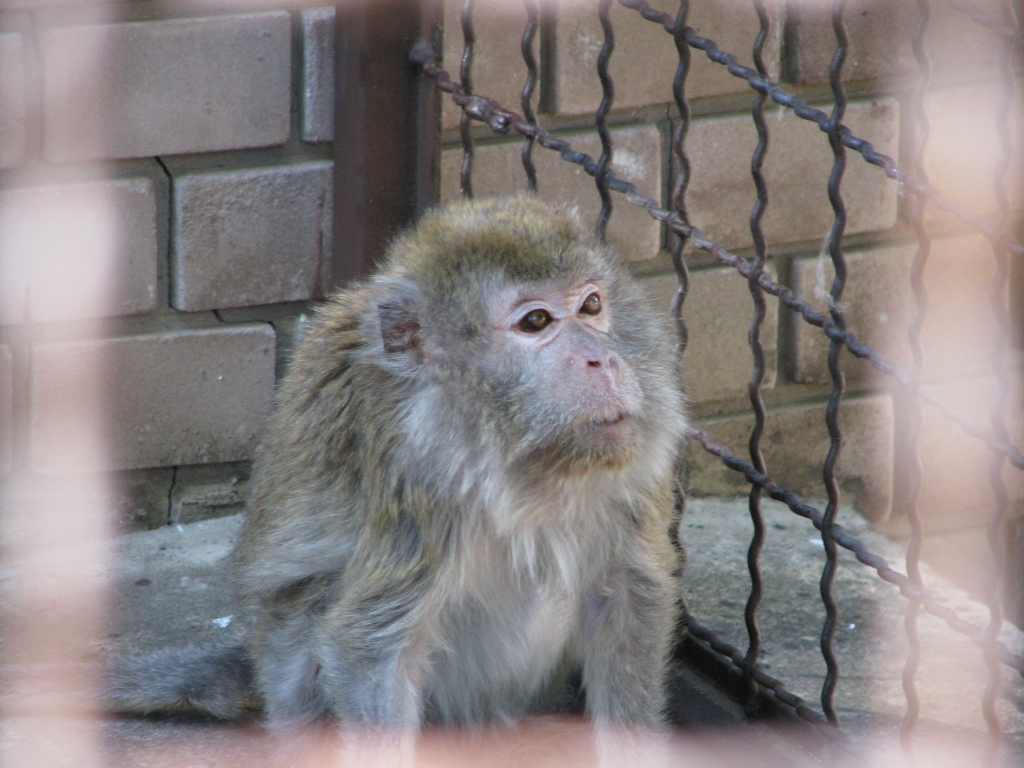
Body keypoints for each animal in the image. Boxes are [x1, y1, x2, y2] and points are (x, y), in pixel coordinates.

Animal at [107, 195, 689, 735]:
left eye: (591, 305)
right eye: (537, 321)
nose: (602, 359)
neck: (515, 456)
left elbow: (627, 596)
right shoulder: (416, 471)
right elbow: (370, 650)